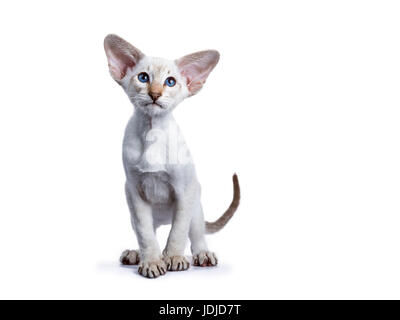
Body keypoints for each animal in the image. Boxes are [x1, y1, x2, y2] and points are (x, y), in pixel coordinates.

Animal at [104, 33, 241, 276]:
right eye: (143, 77)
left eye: (170, 82)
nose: (155, 94)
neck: (152, 130)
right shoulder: (134, 191)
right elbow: (145, 234)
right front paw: (151, 262)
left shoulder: (185, 189)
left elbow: (178, 231)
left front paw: (174, 258)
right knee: (148, 231)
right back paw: (136, 254)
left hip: (196, 204)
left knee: (195, 234)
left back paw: (202, 255)